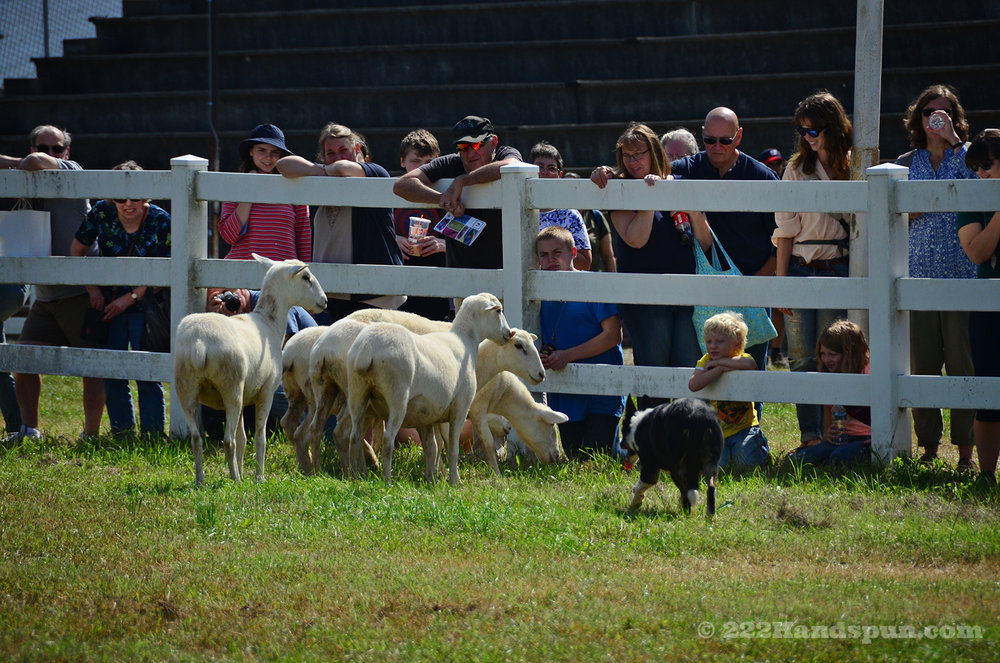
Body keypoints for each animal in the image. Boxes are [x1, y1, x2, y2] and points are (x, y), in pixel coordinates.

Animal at [174, 255, 326, 488]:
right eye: (306, 277)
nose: (324, 300)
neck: (269, 322)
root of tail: (200, 342)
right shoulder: (266, 393)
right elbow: (259, 438)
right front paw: (258, 478)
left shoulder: (247, 396)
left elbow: (243, 438)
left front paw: (241, 471)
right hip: (231, 388)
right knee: (227, 440)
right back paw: (234, 480)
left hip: (186, 388)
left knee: (197, 438)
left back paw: (201, 481)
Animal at [348, 294, 512, 486]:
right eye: (498, 311)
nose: (509, 334)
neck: (465, 341)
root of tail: (367, 347)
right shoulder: (460, 407)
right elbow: (452, 448)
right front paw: (454, 481)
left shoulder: (425, 415)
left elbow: (431, 448)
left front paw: (430, 480)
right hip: (397, 396)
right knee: (388, 440)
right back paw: (387, 481)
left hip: (357, 393)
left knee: (354, 437)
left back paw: (353, 478)